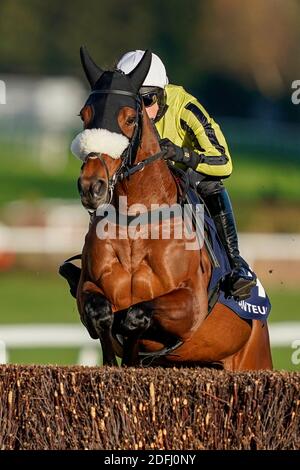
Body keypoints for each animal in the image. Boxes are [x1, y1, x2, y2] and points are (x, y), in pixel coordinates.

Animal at [71, 47, 272, 370]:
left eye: (129, 118)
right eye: (84, 115)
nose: (92, 187)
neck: (135, 222)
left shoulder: (191, 305)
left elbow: (135, 315)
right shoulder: (86, 290)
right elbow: (100, 312)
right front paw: (114, 359)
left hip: (253, 358)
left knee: (213, 184)